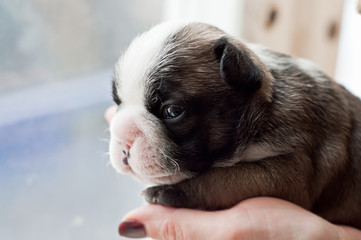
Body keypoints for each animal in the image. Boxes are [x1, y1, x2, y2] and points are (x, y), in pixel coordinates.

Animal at [108, 22, 360, 229]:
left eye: (172, 111)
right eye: (118, 102)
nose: (123, 138)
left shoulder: (291, 171)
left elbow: (226, 180)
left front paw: (170, 192)